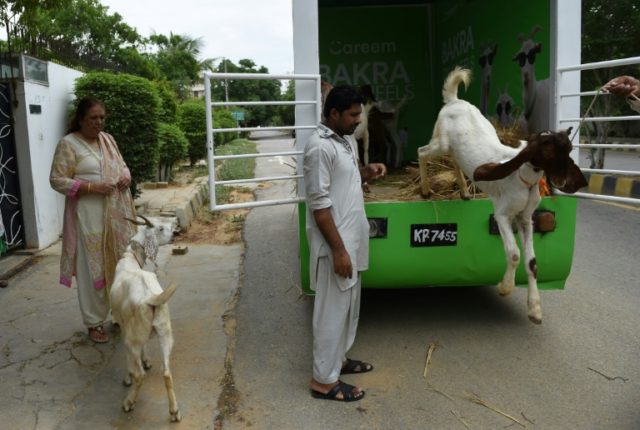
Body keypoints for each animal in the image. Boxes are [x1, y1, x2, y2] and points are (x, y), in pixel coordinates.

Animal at [110, 214, 180, 420]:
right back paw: (174, 411)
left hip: (132, 338)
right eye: (160, 228)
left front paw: (127, 377)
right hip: (165, 332)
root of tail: (151, 297)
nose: (175, 234)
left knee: (140, 376)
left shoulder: (125, 328)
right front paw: (147, 360)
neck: (131, 259)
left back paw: (128, 402)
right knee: (167, 372)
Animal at [418, 66, 588, 322]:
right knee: (422, 152)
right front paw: (505, 287)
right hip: (441, 142)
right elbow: (515, 254)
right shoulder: (503, 215)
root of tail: (454, 100)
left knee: (455, 160)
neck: (522, 178)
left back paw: (465, 192)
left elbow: (532, 262)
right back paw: (426, 190)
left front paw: (535, 309)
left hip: (460, 145)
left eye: (568, 150)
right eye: (548, 152)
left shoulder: (526, 218)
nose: (565, 182)